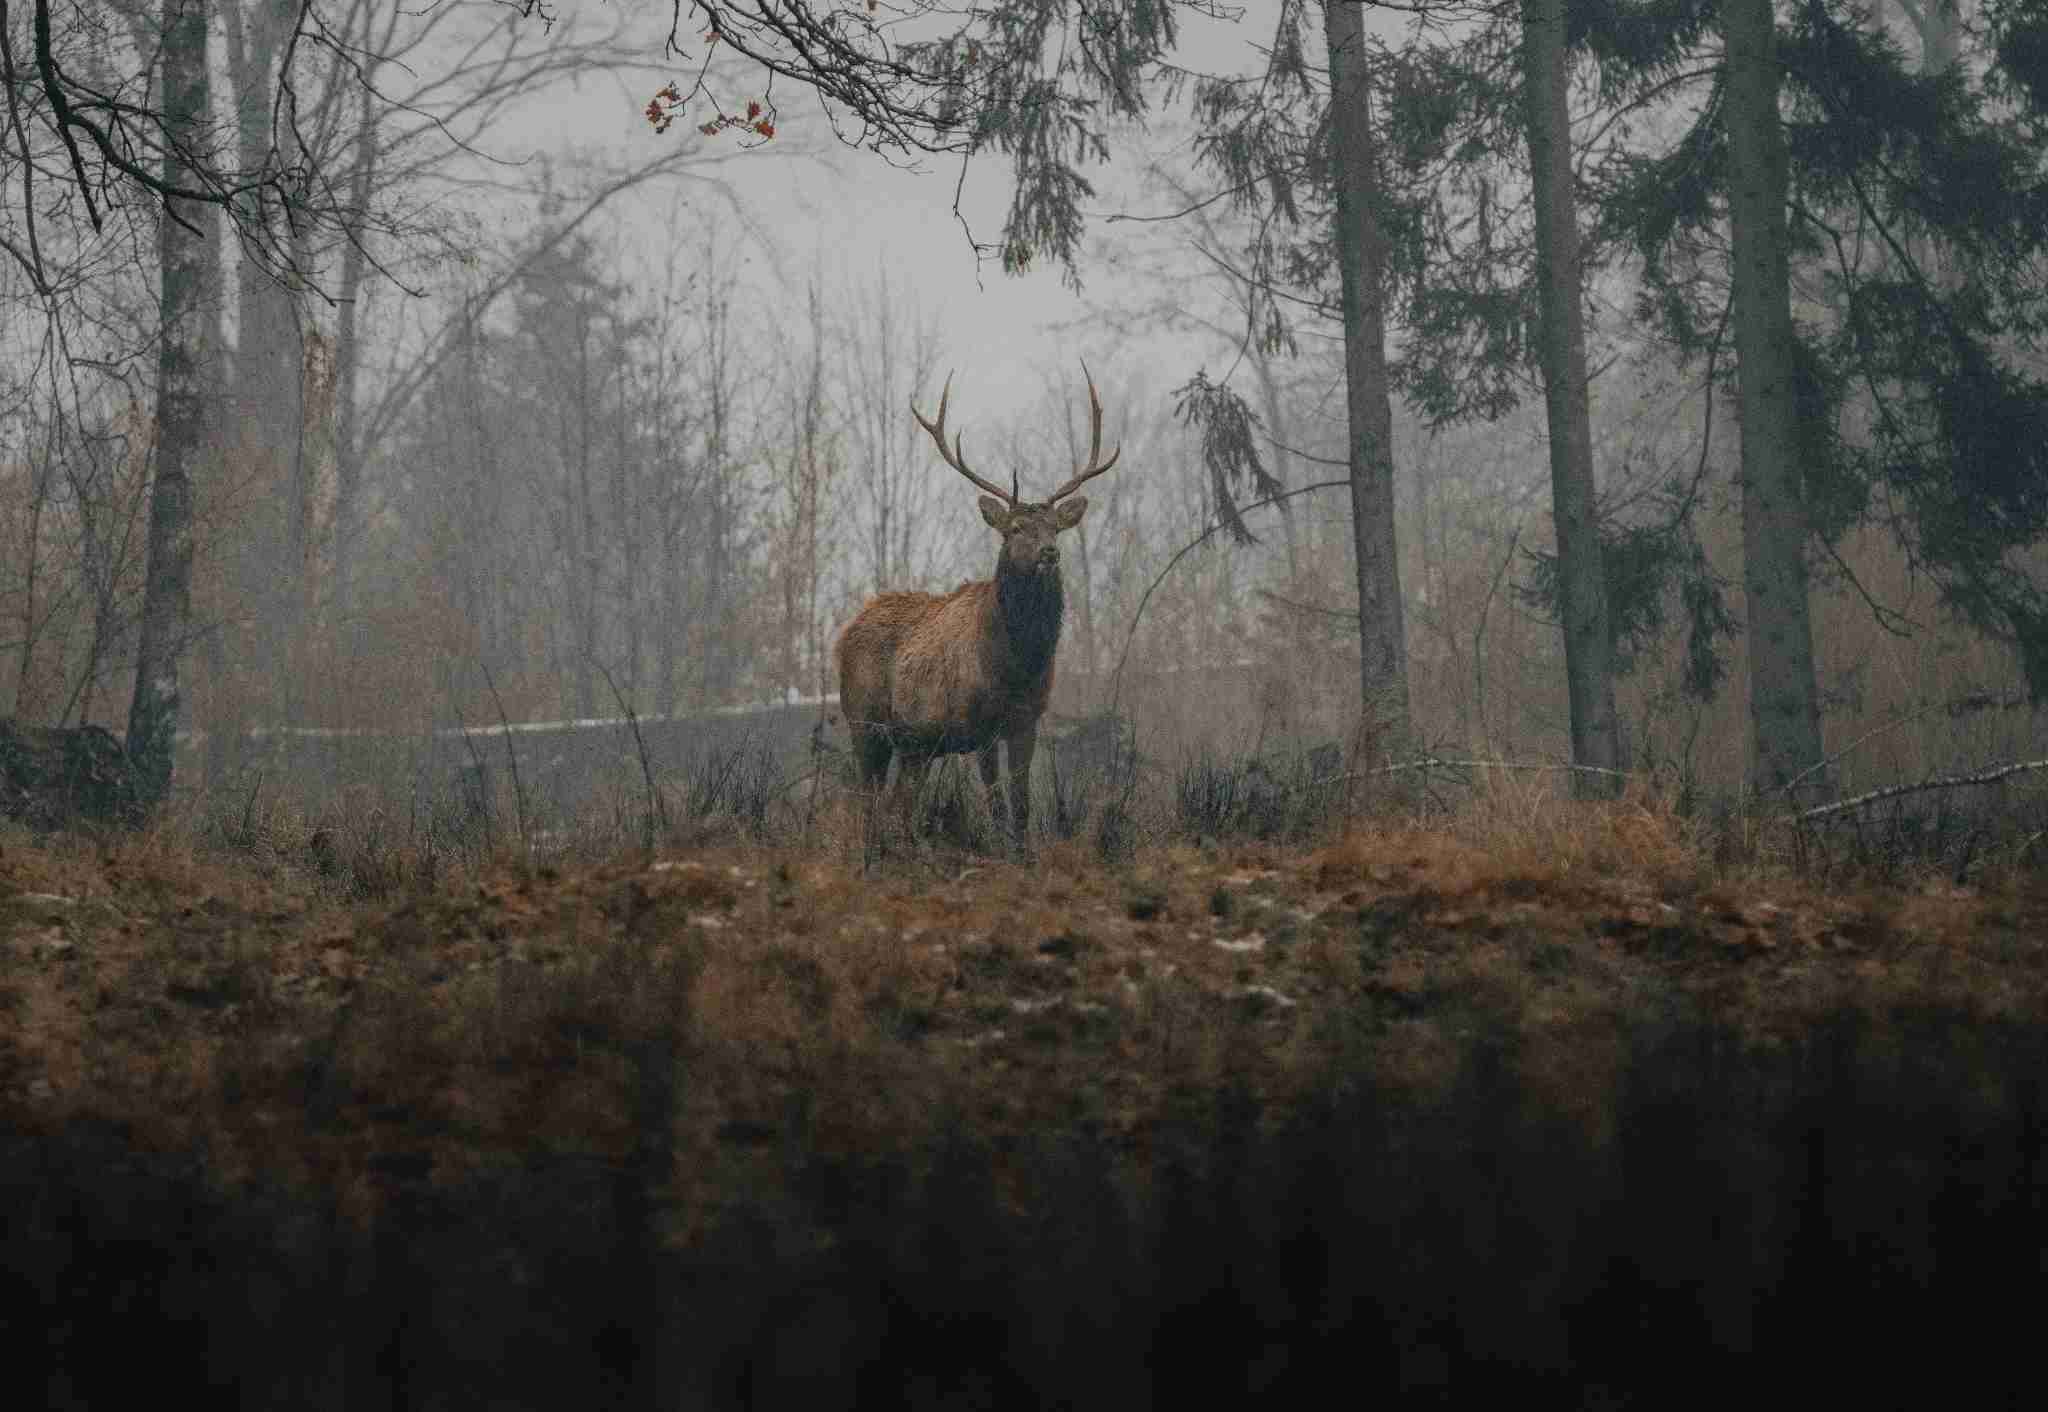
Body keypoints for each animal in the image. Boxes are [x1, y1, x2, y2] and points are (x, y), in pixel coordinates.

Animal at [836, 365, 1121, 852]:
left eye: (1055, 527)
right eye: (1015, 528)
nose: (1049, 553)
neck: (1015, 666)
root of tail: (843, 634)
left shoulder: (1027, 720)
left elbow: (1022, 802)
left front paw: (1024, 854)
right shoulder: (980, 724)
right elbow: (996, 802)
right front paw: (1002, 853)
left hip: (914, 745)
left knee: (899, 804)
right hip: (864, 722)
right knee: (867, 799)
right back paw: (871, 853)